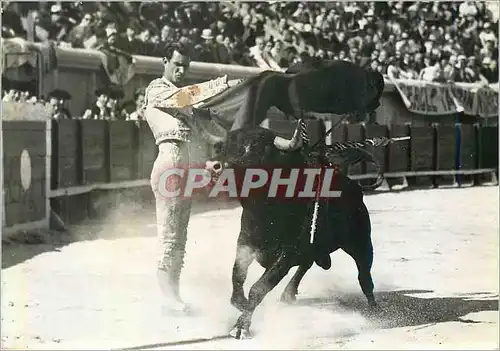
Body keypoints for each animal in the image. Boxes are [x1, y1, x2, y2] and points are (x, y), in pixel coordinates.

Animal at [205, 125, 376, 340]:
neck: (265, 212)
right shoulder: (244, 244)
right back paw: (288, 293)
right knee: (307, 264)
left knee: (364, 274)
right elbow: (237, 277)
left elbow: (259, 287)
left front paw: (241, 326)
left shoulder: (287, 253)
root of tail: (352, 186)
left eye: (255, 147)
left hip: (361, 243)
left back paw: (374, 309)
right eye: (225, 145)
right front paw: (241, 306)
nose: (212, 166)